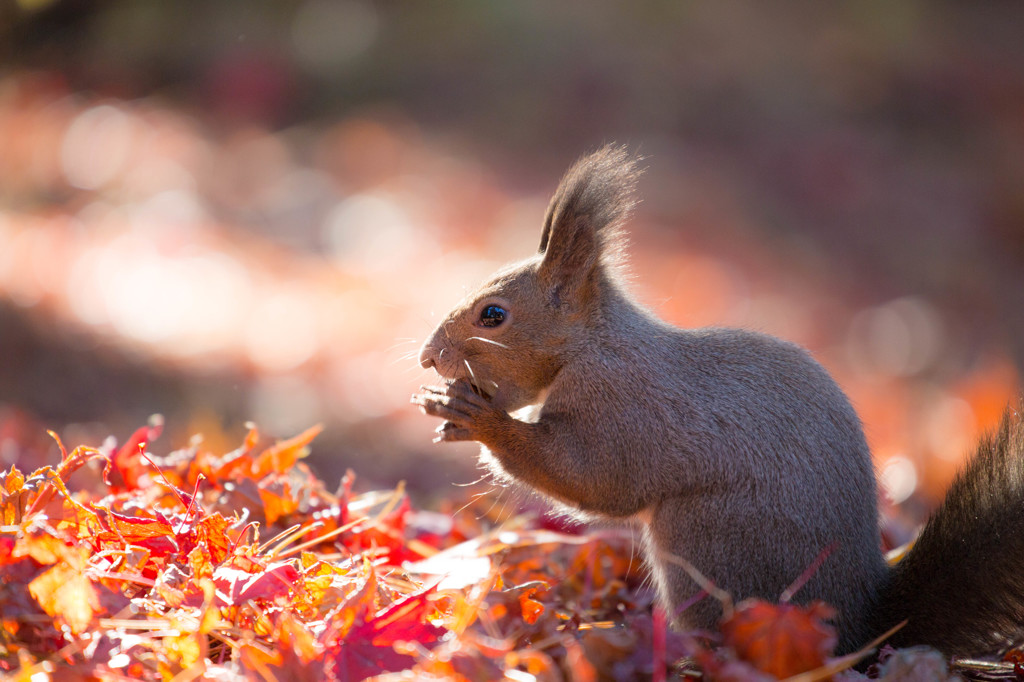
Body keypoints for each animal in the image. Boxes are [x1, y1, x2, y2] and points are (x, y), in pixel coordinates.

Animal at [407, 144, 1024, 655]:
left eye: (493, 315)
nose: (428, 356)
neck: (594, 345)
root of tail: (859, 624)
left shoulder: (626, 406)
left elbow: (595, 478)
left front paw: (482, 420)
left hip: (702, 541)